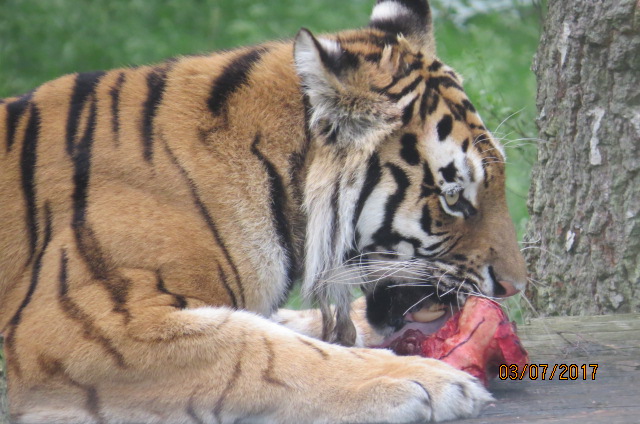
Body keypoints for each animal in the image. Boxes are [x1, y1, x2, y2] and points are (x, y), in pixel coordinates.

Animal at [0, 0, 527, 422]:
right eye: (453, 196)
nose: (515, 287)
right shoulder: (86, 327)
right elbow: (263, 350)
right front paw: (430, 381)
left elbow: (278, 328)